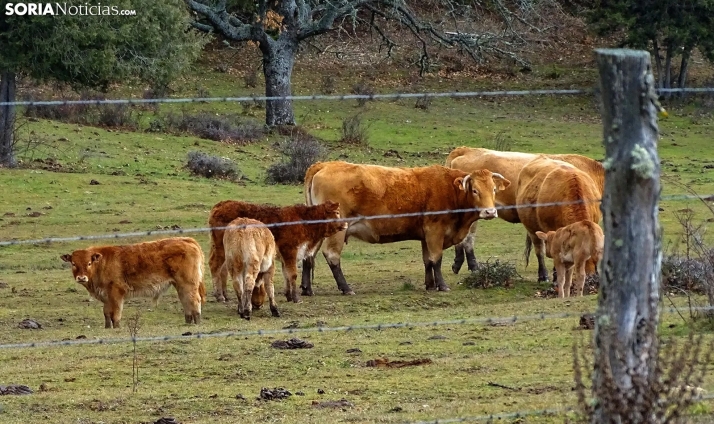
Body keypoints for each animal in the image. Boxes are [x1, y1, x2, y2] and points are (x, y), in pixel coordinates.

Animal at [60, 237, 206, 330]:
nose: (81, 278)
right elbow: (107, 313)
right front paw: (107, 327)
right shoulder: (106, 296)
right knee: (186, 302)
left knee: (194, 301)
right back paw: (188, 321)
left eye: (89, 263)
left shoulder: (116, 293)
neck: (102, 263)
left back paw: (197, 322)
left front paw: (116, 327)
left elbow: (116, 313)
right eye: (73, 263)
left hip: (188, 284)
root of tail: (187, 240)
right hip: (181, 285)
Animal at [207, 200, 346, 304]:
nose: (345, 224)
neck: (305, 221)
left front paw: (288, 295)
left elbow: (286, 274)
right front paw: (296, 298)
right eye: (337, 212)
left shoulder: (287, 255)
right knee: (215, 266)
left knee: (223, 269)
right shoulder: (290, 251)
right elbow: (292, 274)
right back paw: (219, 295)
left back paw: (225, 295)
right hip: (221, 248)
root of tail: (221, 205)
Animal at [298, 161, 506, 294]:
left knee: (309, 255)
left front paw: (430, 285)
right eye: (475, 190)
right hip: (337, 231)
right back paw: (346, 288)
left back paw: (307, 289)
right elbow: (436, 259)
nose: (490, 212)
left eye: (494, 190)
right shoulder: (435, 231)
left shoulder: (425, 235)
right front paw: (442, 285)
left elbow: (427, 261)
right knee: (332, 256)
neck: (451, 190)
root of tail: (325, 164)